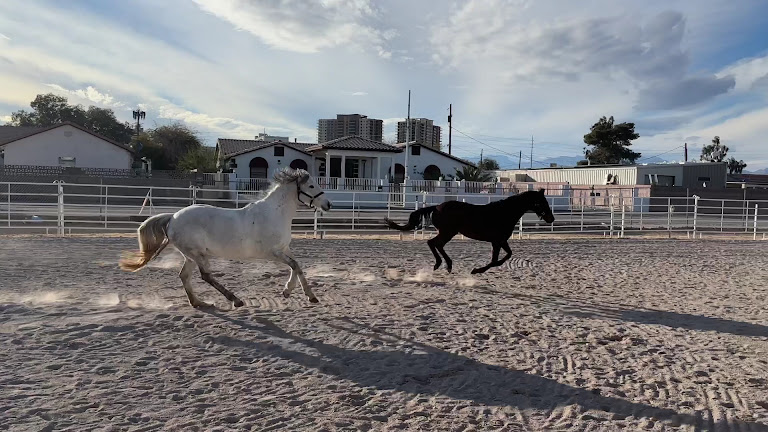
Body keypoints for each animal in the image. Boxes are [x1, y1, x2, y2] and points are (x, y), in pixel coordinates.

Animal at [119, 168, 331, 308]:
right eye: (311, 185)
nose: (328, 204)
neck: (274, 213)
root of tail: (173, 217)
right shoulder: (271, 252)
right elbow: (294, 265)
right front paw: (296, 292)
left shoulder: (284, 248)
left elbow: (297, 266)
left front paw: (299, 293)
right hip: (198, 254)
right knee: (205, 276)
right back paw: (235, 300)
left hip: (191, 256)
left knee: (184, 276)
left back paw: (198, 302)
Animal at [384, 189, 555, 274]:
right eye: (541, 202)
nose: (551, 218)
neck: (504, 213)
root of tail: (437, 207)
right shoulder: (496, 241)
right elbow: (495, 260)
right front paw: (476, 271)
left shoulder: (501, 241)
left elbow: (506, 256)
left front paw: (478, 270)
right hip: (448, 232)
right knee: (433, 243)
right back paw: (442, 264)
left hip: (448, 232)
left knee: (436, 244)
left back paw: (446, 265)